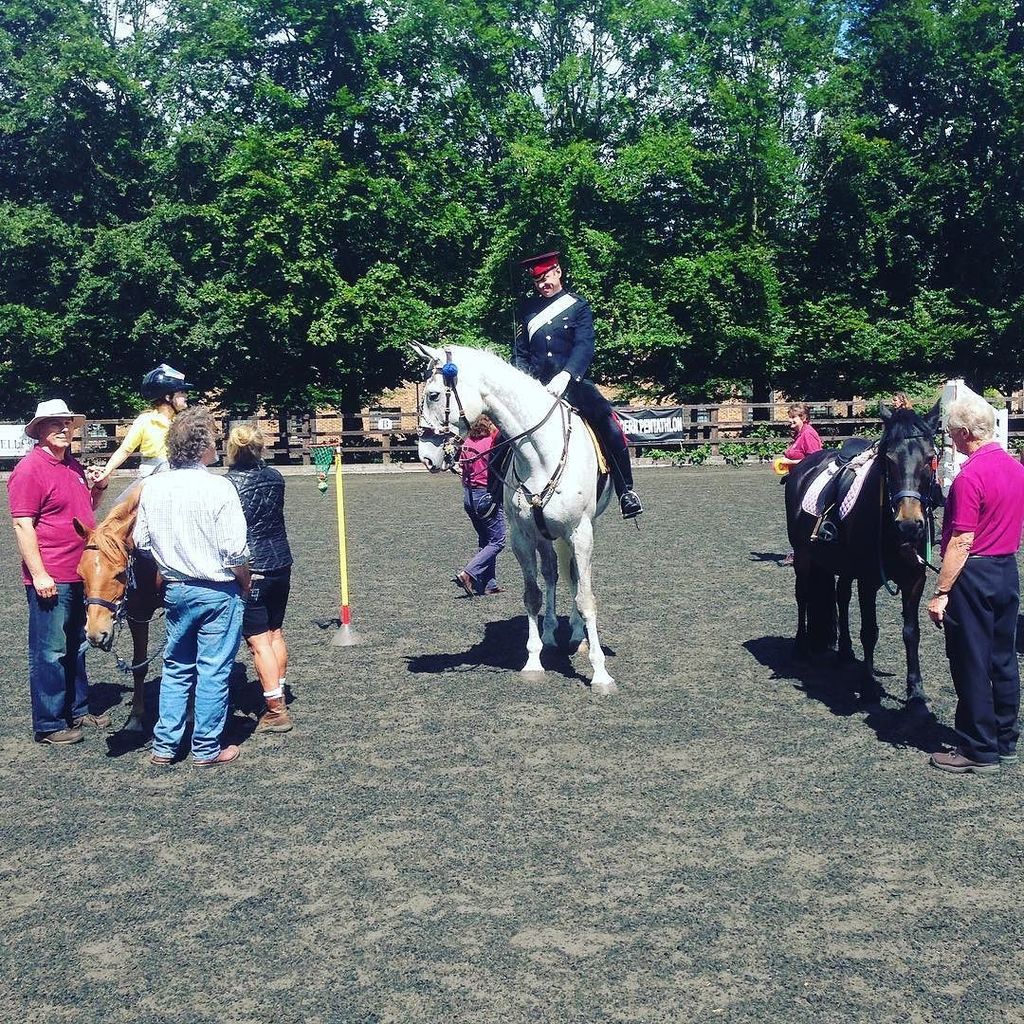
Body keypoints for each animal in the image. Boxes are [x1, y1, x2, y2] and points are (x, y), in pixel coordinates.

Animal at [74, 485, 163, 731]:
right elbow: (139, 665)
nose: (96, 633)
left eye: (120, 573)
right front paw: (136, 718)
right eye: (80, 574)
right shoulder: (137, 615)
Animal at [411, 342, 619, 693]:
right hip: (545, 536)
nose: (425, 456)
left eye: (434, 395)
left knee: (574, 577)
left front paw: (600, 673)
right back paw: (550, 633)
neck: (541, 454)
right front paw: (533, 662)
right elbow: (532, 595)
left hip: (581, 530)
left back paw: (578, 637)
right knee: (552, 575)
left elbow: (585, 597)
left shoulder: (580, 533)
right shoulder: (522, 536)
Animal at [785, 401, 941, 704]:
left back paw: (845, 652)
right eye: (888, 460)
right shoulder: (868, 581)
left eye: (930, 459)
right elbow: (870, 631)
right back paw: (801, 646)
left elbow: (911, 632)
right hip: (804, 557)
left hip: (843, 565)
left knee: (841, 597)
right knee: (803, 595)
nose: (908, 524)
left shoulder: (915, 580)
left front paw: (916, 691)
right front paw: (868, 687)